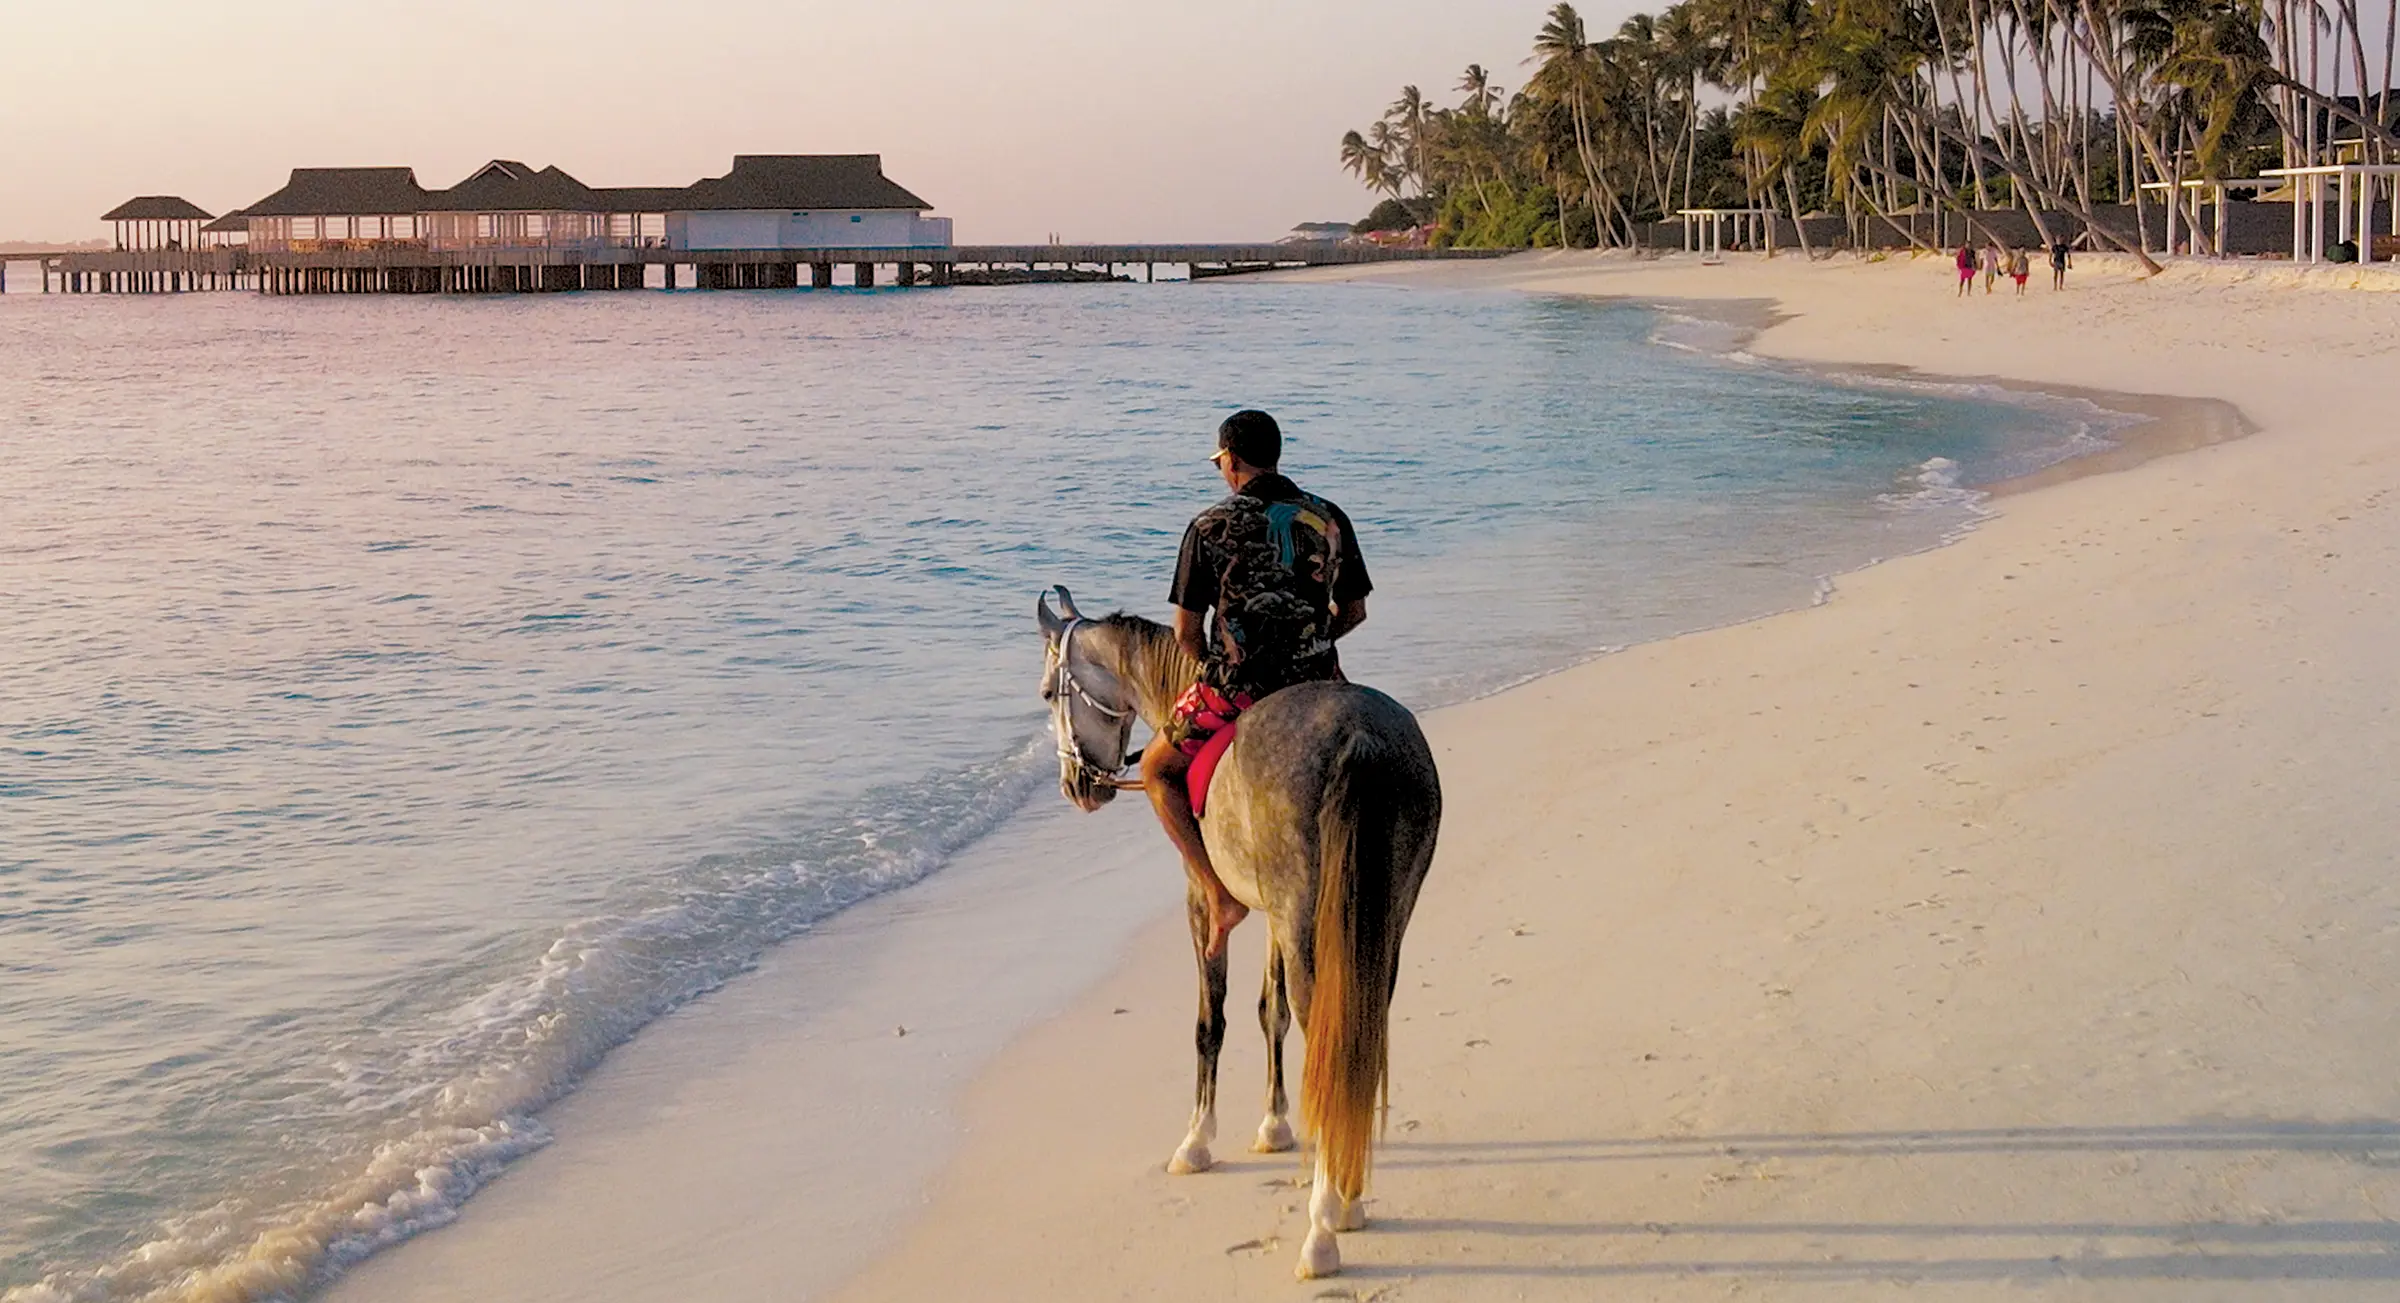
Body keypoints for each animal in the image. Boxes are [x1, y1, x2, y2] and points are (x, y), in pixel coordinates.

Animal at [1035, 585, 1441, 1280]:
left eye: (1045, 695)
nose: (1076, 785)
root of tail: (1358, 736)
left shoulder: (1203, 905)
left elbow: (1212, 1022)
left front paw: (1197, 1139)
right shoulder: (1281, 919)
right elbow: (1268, 1012)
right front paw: (1274, 1124)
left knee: (1323, 1030)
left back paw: (1324, 1223)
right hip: (1376, 918)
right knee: (1357, 1025)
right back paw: (1347, 1191)